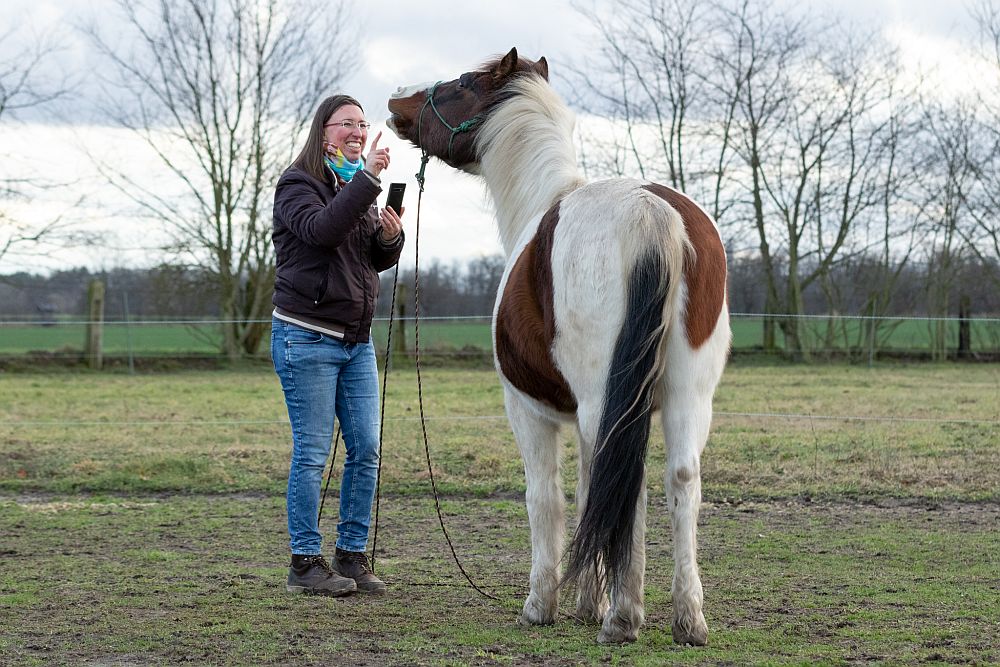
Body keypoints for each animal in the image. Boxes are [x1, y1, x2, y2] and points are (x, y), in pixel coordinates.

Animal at [387, 48, 730, 645]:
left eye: (462, 83)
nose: (396, 101)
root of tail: (652, 213)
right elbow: (594, 488)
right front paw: (586, 602)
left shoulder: (529, 412)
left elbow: (545, 498)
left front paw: (543, 604)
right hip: (688, 398)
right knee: (679, 479)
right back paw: (687, 620)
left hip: (604, 401)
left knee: (632, 485)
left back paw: (623, 619)